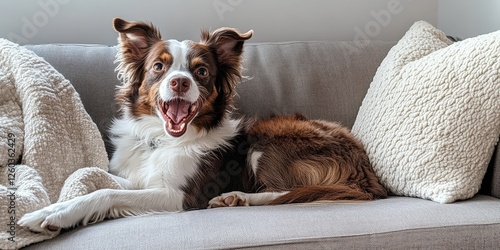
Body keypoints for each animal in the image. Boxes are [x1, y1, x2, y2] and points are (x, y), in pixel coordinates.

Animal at [18, 18, 386, 233]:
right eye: (158, 67)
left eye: (201, 71)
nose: (180, 82)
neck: (162, 140)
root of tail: (364, 167)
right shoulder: (140, 180)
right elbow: (99, 183)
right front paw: (52, 208)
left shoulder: (179, 196)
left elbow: (106, 193)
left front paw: (54, 216)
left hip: (266, 141)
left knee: (290, 193)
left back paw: (237, 197)